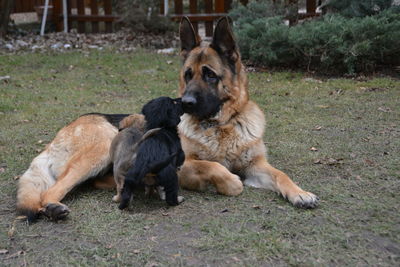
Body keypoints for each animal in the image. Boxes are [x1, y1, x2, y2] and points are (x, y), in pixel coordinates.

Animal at [15, 16, 318, 222]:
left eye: (210, 75)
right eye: (187, 74)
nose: (186, 103)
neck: (220, 127)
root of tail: (62, 132)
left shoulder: (256, 165)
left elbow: (280, 174)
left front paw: (300, 193)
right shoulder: (184, 165)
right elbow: (218, 169)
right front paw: (225, 183)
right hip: (101, 145)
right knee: (49, 192)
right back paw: (52, 208)